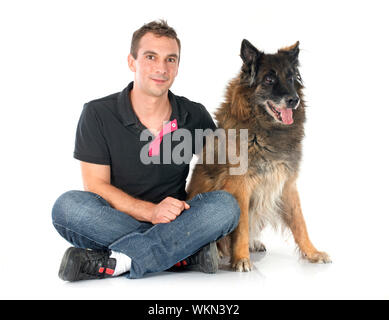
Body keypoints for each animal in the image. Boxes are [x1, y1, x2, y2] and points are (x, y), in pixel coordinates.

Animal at [186, 38, 328, 272]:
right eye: (269, 79)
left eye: (290, 77)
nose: (294, 100)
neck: (264, 126)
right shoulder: (240, 186)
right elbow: (242, 225)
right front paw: (241, 259)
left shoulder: (287, 183)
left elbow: (299, 221)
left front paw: (312, 252)